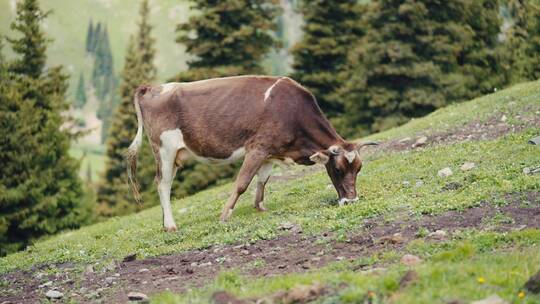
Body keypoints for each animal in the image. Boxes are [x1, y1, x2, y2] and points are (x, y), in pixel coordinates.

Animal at [129, 75, 378, 230]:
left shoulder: (270, 152)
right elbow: (242, 183)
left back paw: (164, 223)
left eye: (358, 168)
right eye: (337, 169)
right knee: (163, 184)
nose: (351, 200)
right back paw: (171, 225)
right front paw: (225, 215)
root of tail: (152, 88)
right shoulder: (257, 148)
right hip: (165, 150)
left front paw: (260, 207)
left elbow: (262, 180)